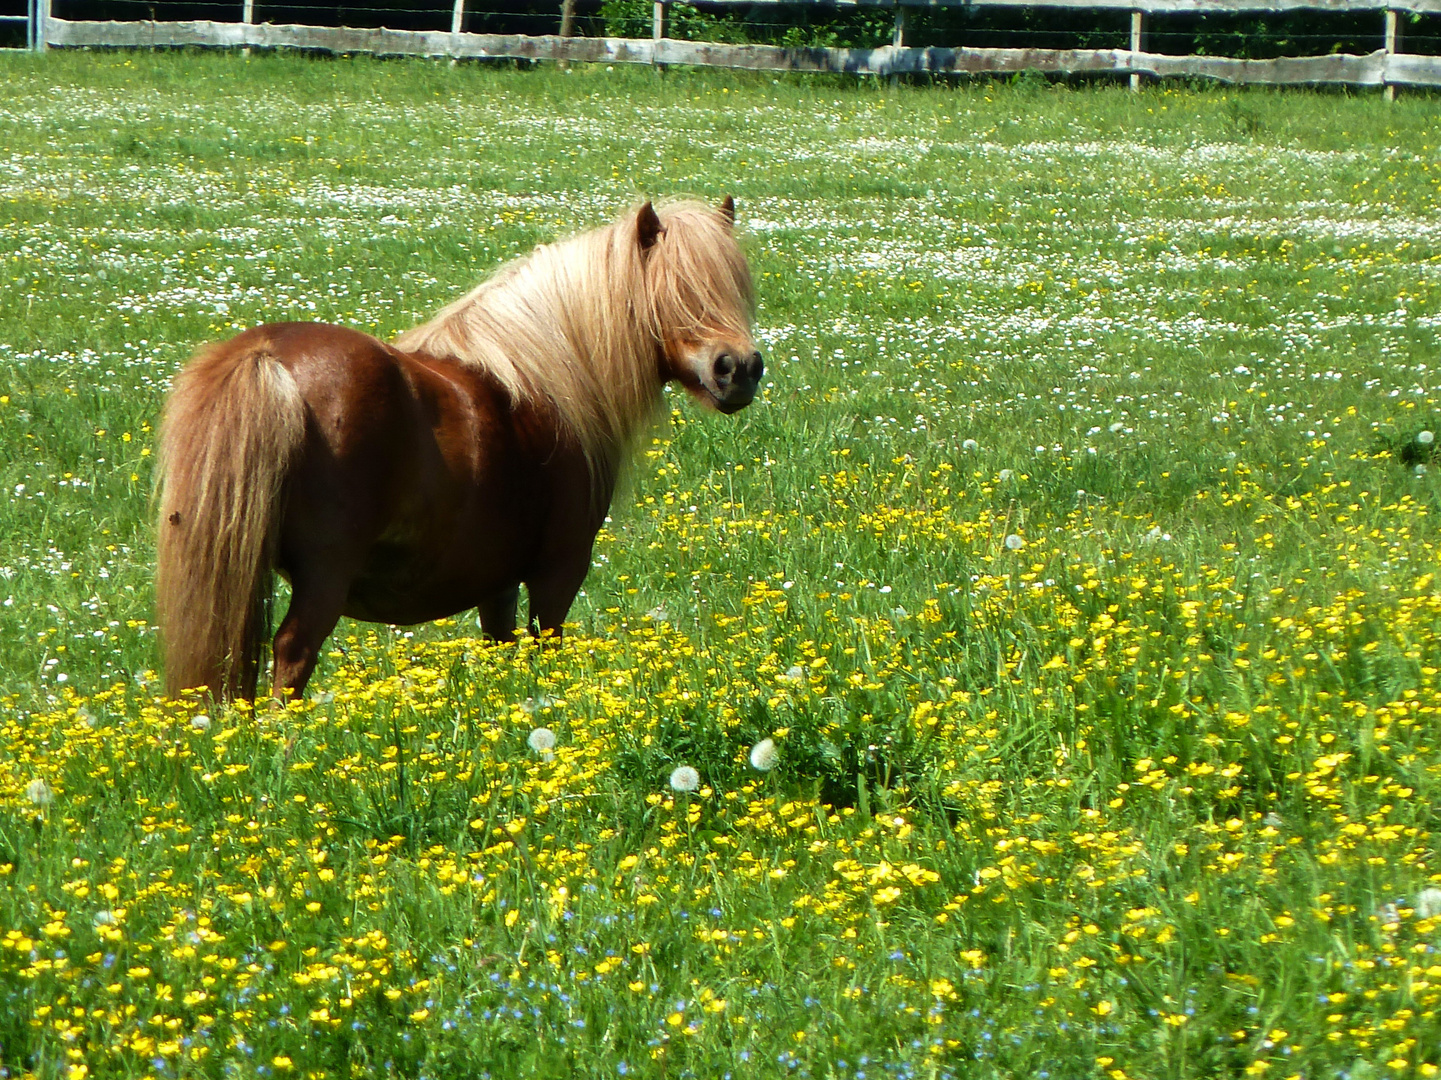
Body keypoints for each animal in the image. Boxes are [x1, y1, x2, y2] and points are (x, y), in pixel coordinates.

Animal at [154, 196, 766, 700]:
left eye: (736, 287)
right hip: (323, 578)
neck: (544, 379)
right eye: (675, 290)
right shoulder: (559, 569)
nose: (740, 370)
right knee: (292, 656)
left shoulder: (496, 583)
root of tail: (267, 355)